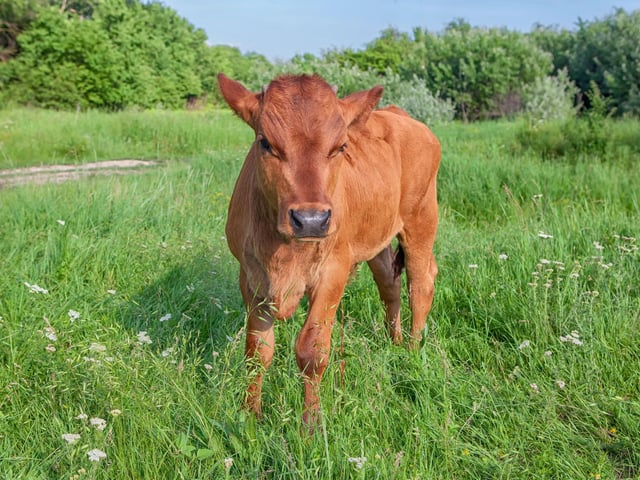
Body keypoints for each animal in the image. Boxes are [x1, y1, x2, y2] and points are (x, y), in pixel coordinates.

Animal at [217, 73, 440, 429]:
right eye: (266, 143)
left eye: (340, 147)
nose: (311, 219)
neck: (284, 254)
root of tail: (401, 115)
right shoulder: (250, 276)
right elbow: (257, 351)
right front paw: (250, 416)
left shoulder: (333, 271)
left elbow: (312, 350)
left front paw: (310, 426)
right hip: (376, 236)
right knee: (389, 283)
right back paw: (392, 342)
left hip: (422, 220)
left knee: (420, 285)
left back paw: (412, 352)